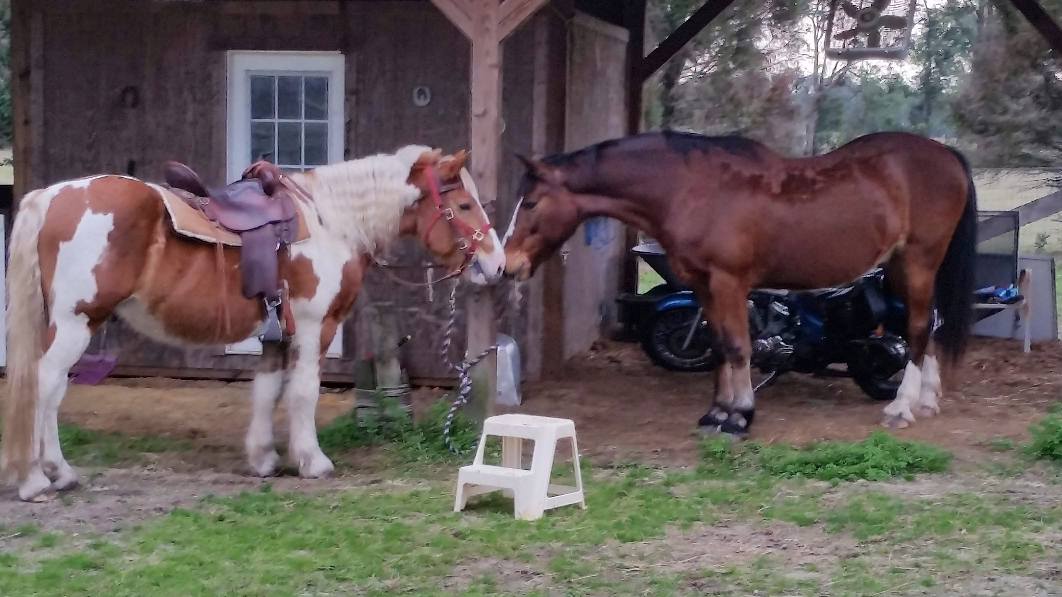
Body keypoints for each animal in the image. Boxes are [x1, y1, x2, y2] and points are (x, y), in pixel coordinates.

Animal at [2, 145, 505, 501]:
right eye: (463, 205)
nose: (497, 265)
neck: (330, 221)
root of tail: (51, 197)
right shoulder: (313, 326)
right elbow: (303, 392)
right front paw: (312, 461)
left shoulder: (275, 333)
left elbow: (267, 389)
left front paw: (263, 458)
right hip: (76, 323)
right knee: (43, 386)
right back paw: (37, 479)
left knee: (52, 391)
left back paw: (58, 473)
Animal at [503, 130, 976, 438]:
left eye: (531, 203)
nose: (508, 265)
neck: (692, 189)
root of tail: (946, 153)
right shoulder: (701, 286)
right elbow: (716, 346)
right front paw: (716, 413)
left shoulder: (729, 282)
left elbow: (737, 347)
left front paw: (740, 416)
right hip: (901, 266)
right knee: (927, 325)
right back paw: (927, 400)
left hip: (919, 261)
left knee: (916, 328)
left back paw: (901, 407)